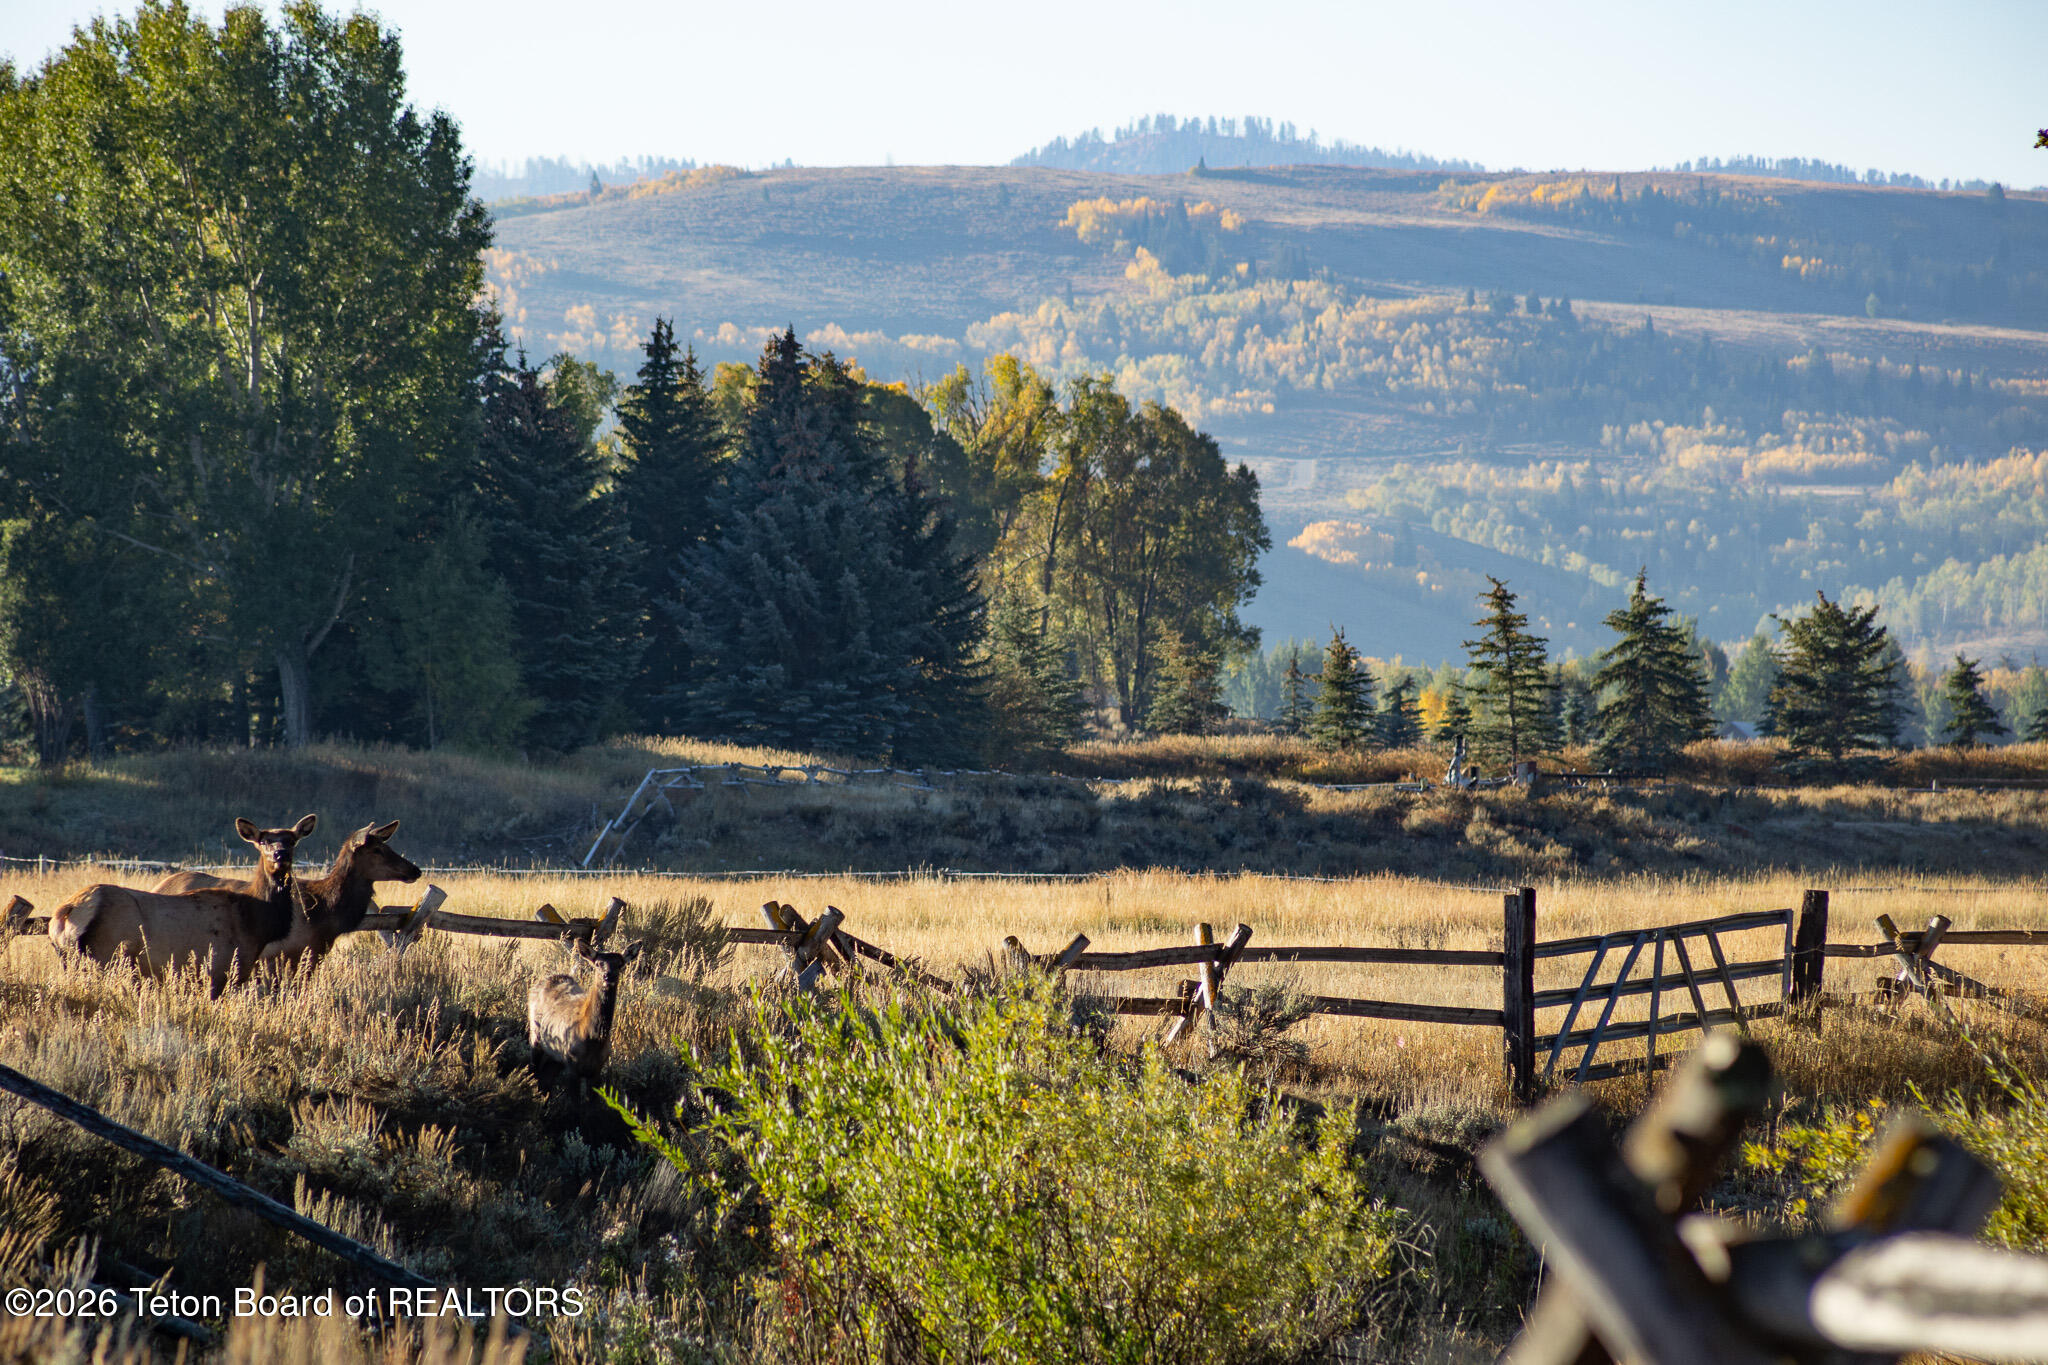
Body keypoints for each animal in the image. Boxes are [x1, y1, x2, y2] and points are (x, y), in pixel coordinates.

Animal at [528, 936, 644, 1093]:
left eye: (620, 964)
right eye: (598, 963)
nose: (608, 976)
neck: (592, 1039)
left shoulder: (597, 1069)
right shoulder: (571, 1063)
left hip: (555, 1058)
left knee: (545, 1079)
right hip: (535, 1036)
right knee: (533, 1071)